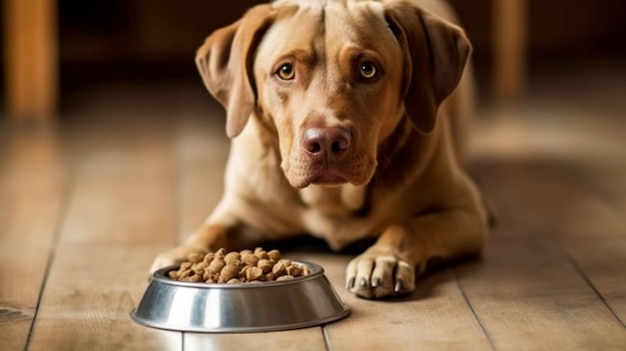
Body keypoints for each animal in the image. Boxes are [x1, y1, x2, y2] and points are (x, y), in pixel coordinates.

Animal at [150, 0, 488, 300]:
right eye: (285, 71)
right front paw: (186, 252)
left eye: (367, 69)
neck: (331, 199)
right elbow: (211, 229)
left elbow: (409, 226)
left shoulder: (466, 213)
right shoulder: (241, 211)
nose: (326, 142)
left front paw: (383, 258)